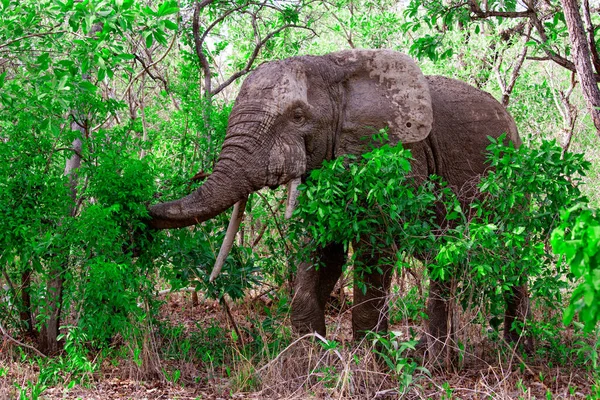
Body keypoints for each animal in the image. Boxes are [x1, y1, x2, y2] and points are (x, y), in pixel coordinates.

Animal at [149, 49, 528, 356]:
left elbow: (376, 246)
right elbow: (323, 249)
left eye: (298, 116)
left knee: (510, 256)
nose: (142, 208)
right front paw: (314, 357)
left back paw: (511, 350)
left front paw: (370, 361)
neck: (334, 67)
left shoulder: (395, 155)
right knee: (443, 259)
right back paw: (436, 356)